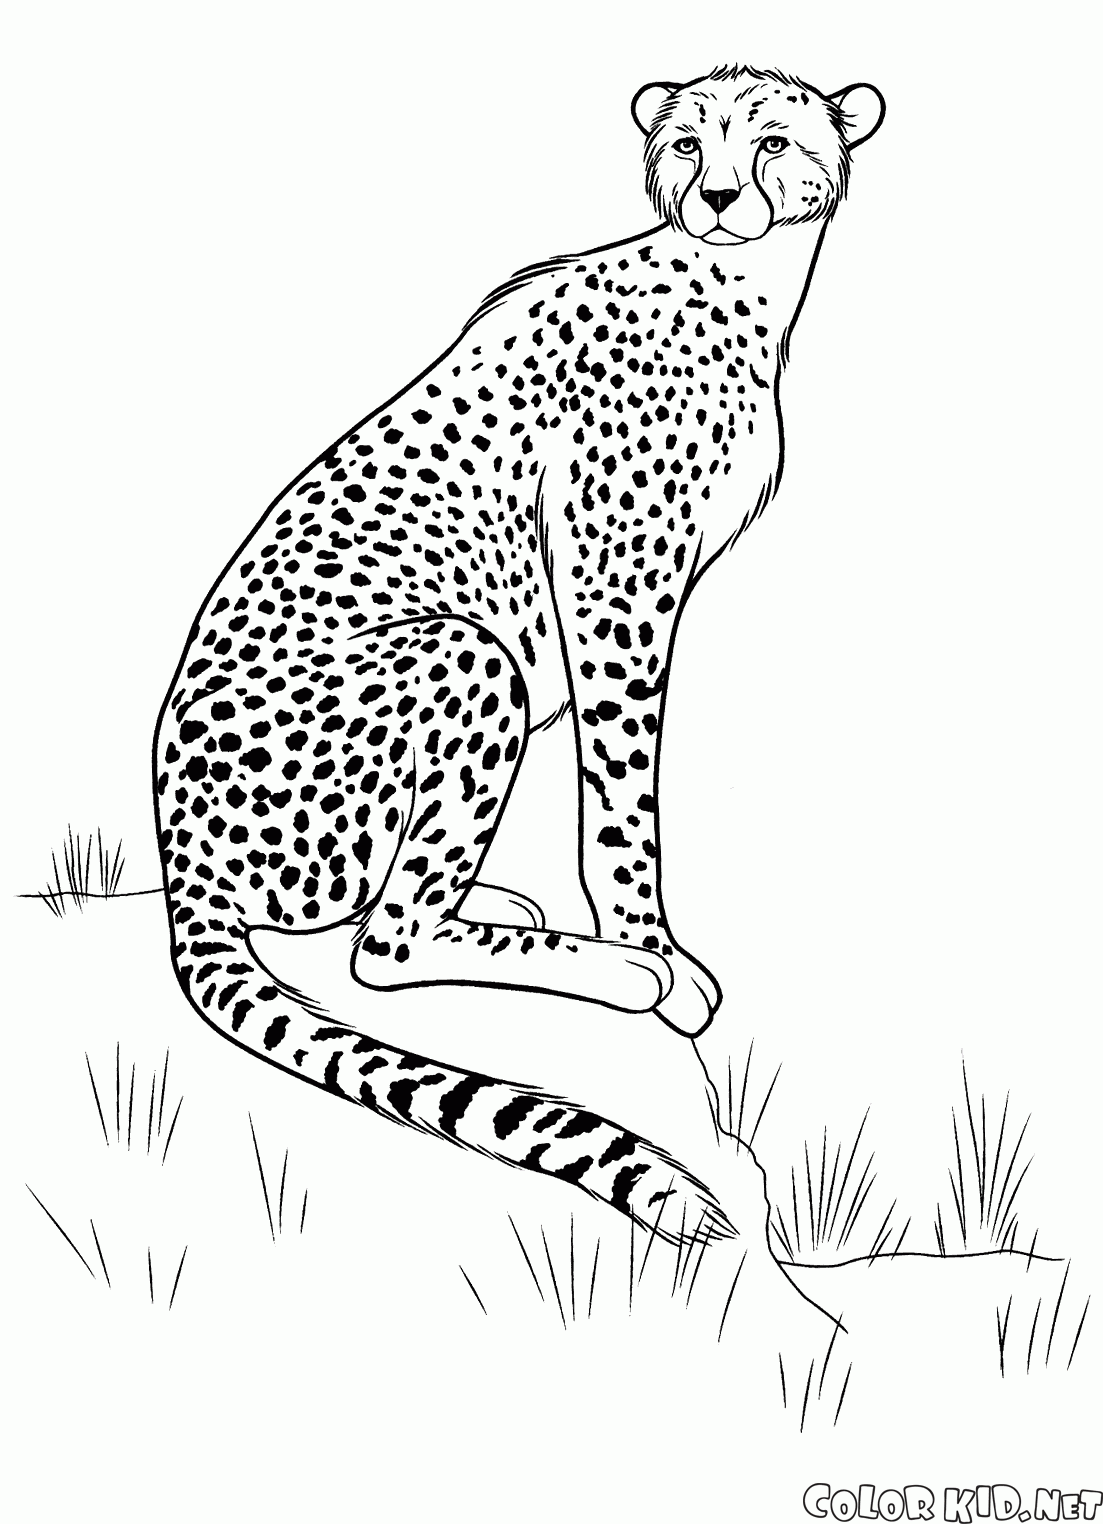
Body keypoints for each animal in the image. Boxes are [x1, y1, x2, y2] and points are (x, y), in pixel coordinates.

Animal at [153, 64, 885, 1252]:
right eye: (689, 144)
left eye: (772, 141)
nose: (720, 196)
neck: (739, 284)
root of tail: (177, 849)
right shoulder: (612, 584)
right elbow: (623, 797)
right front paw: (654, 949)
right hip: (471, 653)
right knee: (384, 945)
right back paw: (613, 971)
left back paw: (501, 901)